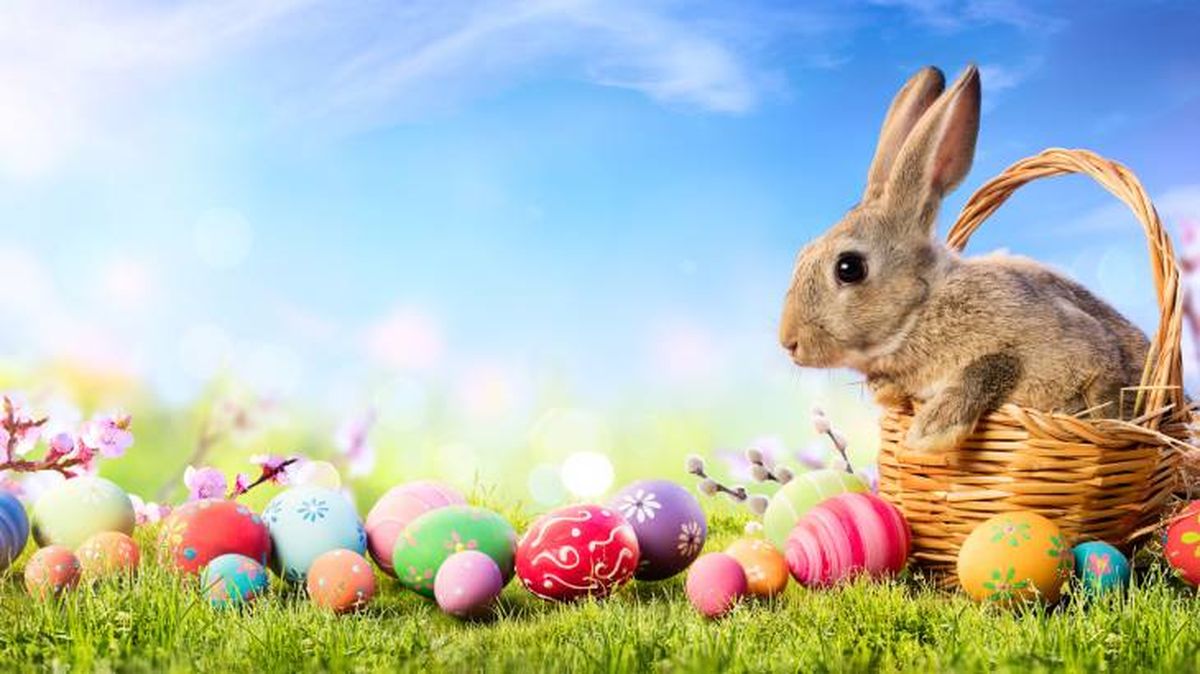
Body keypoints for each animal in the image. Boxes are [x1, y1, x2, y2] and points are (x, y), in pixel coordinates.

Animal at [777, 64, 1150, 453]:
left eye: (849, 268)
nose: (789, 342)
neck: (923, 309)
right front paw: (892, 395)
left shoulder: (1070, 348)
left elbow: (994, 363)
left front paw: (932, 428)